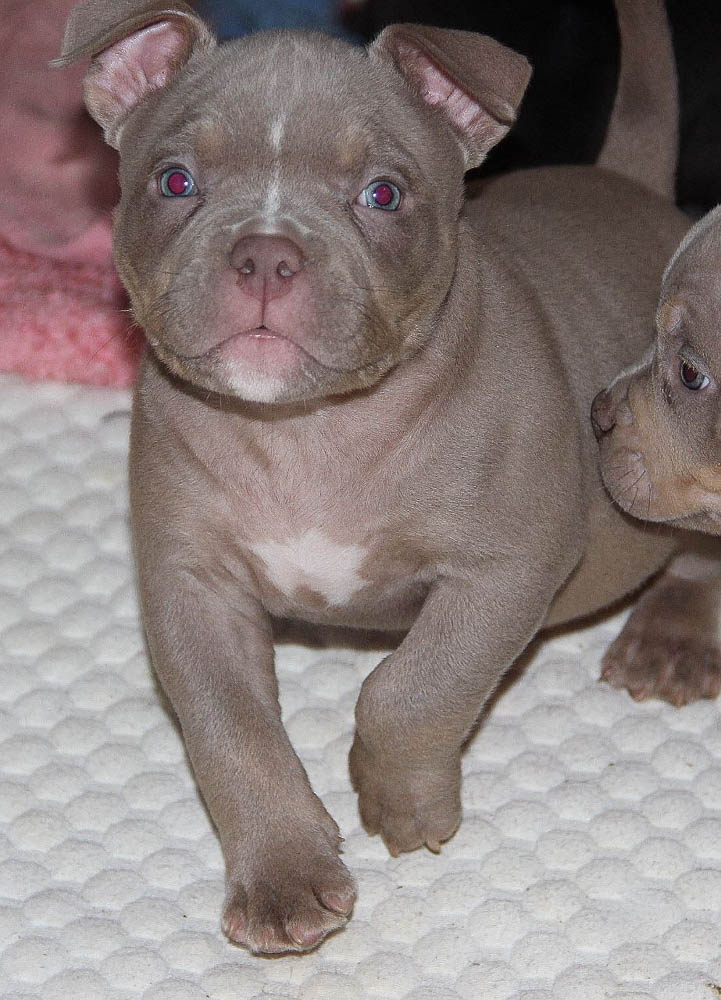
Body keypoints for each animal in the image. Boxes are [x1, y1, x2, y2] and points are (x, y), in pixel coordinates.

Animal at [57, 0, 689, 954]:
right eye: (173, 181)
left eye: (383, 194)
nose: (266, 255)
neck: (306, 430)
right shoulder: (189, 587)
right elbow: (230, 732)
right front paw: (283, 872)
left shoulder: (506, 569)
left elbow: (412, 687)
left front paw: (400, 801)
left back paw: (674, 636)